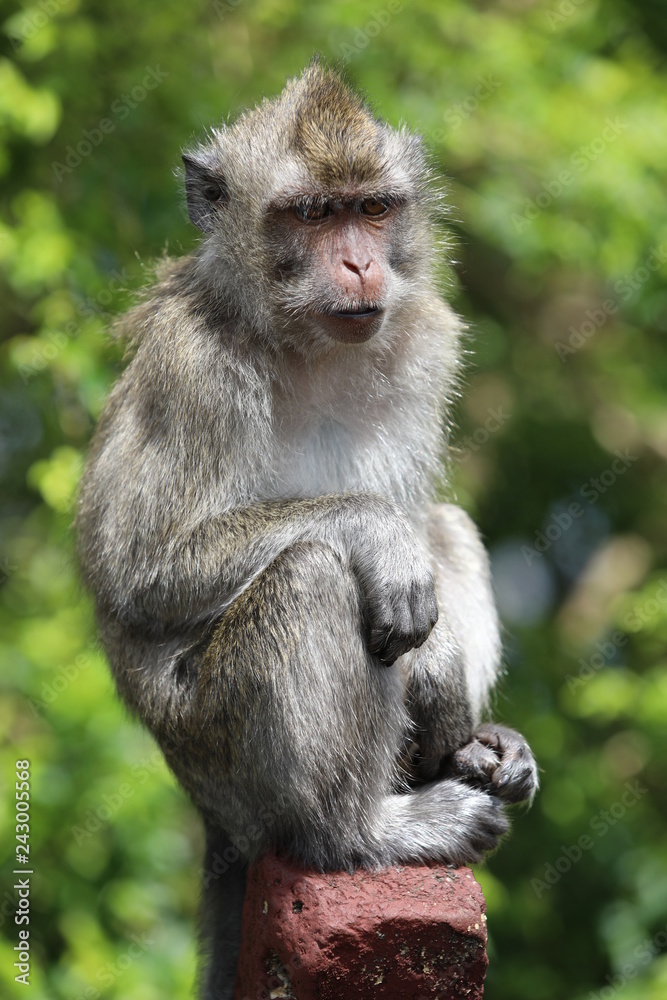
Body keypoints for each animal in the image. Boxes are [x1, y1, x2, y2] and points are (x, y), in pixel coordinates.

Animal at [77, 64, 536, 1000]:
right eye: (313, 215)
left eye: (371, 208)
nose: (359, 262)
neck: (303, 342)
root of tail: (208, 816)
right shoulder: (197, 368)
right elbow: (141, 571)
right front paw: (375, 535)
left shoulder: (427, 339)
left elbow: (423, 518)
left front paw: (444, 677)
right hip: (221, 760)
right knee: (312, 573)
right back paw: (359, 832)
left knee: (443, 523)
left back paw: (468, 753)